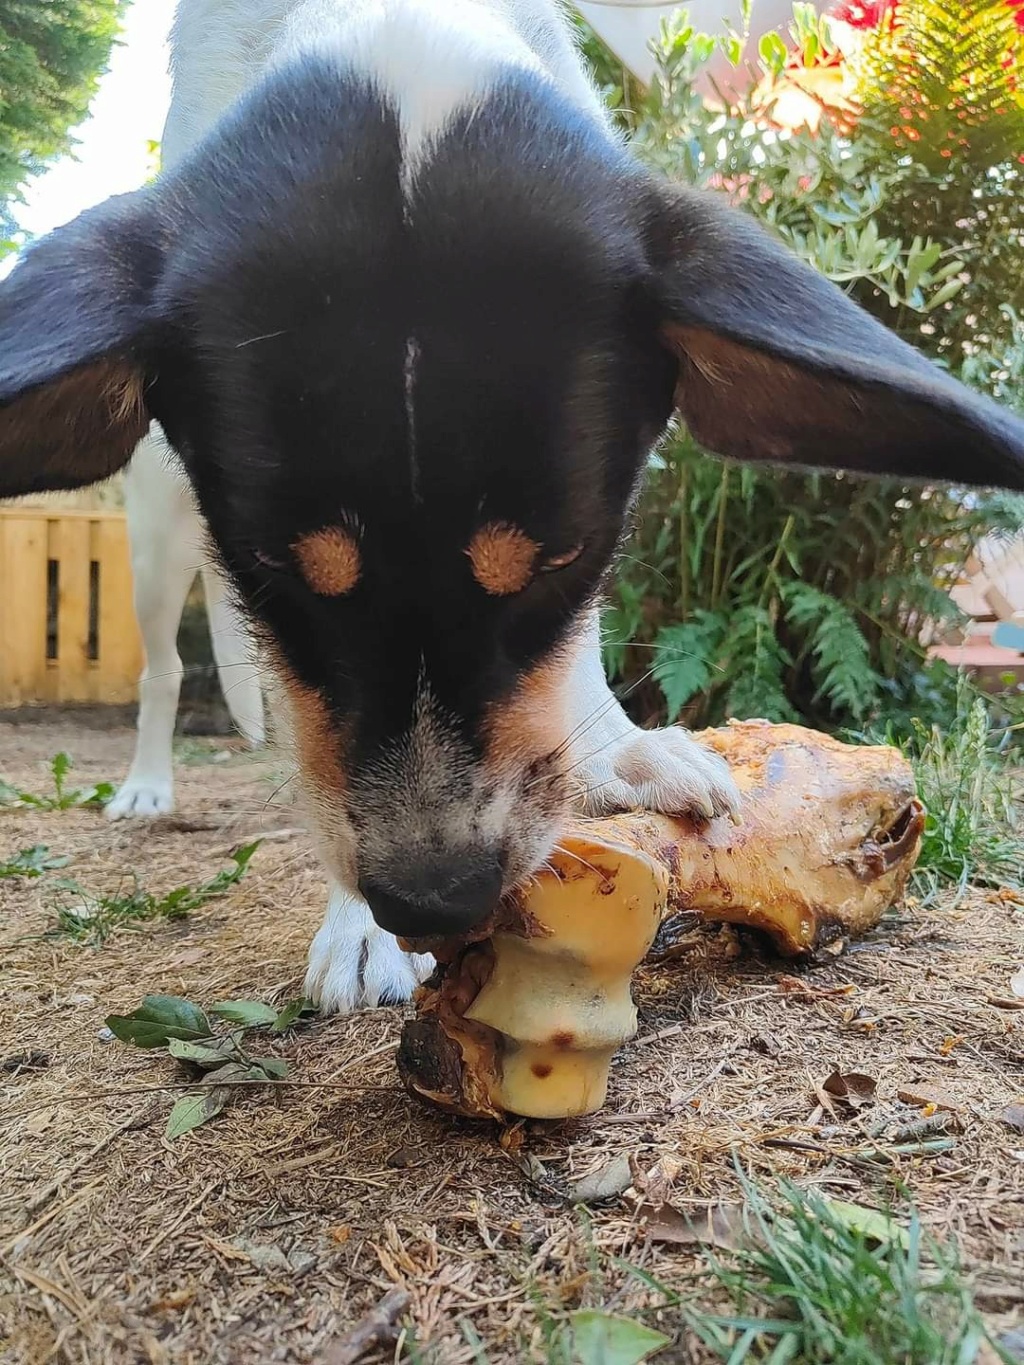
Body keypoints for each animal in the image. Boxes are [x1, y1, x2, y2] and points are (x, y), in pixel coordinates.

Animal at [2, 0, 1024, 1021]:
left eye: (562, 560)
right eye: (275, 567)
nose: (433, 900)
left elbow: (573, 655)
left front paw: (618, 753)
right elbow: (314, 725)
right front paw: (360, 927)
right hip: (155, 540)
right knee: (165, 668)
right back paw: (148, 784)